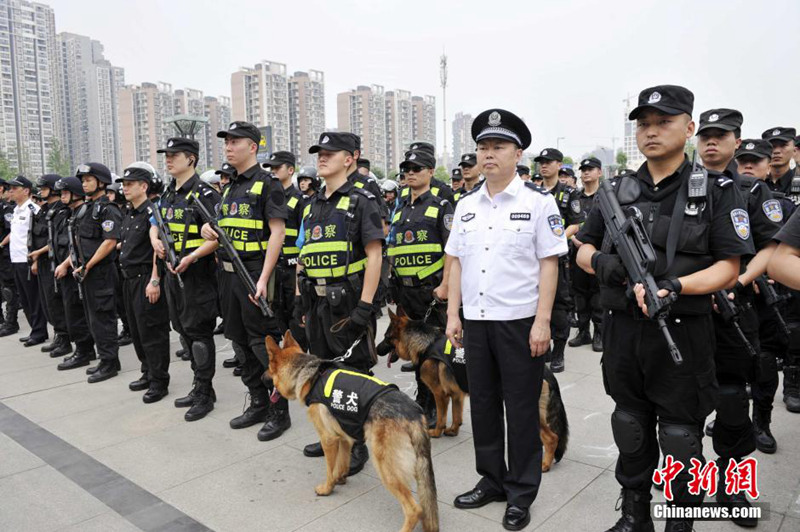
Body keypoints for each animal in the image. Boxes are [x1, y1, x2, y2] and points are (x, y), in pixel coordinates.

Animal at [264, 332, 438, 532]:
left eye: (268, 368)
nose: (261, 378)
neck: (307, 374)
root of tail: (414, 413)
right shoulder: (344, 438)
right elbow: (342, 464)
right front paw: (340, 479)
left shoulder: (328, 439)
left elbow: (330, 468)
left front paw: (327, 488)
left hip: (386, 466)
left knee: (414, 509)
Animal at [380, 310, 568, 472]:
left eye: (386, 337)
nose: (377, 349)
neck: (426, 343)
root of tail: (546, 371)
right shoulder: (457, 394)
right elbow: (457, 416)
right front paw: (453, 431)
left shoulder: (440, 394)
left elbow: (441, 417)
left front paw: (437, 432)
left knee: (552, 438)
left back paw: (545, 464)